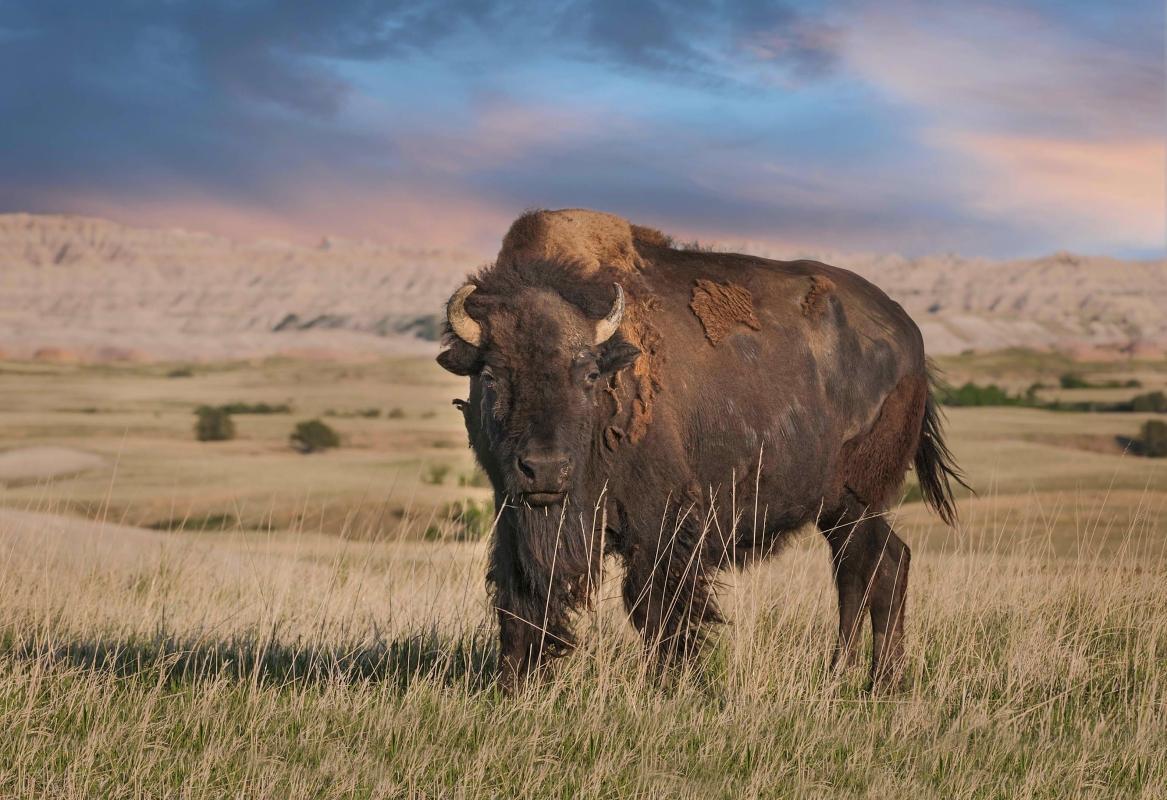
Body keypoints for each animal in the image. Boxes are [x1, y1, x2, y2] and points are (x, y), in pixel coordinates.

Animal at [438, 209, 966, 690]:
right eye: (490, 376)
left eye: (588, 374)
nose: (545, 469)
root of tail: (912, 339)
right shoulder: (513, 514)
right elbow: (519, 597)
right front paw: (513, 684)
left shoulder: (661, 522)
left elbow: (658, 606)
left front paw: (671, 682)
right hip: (839, 511)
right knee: (871, 569)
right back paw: (847, 676)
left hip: (859, 503)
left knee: (874, 569)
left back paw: (880, 681)